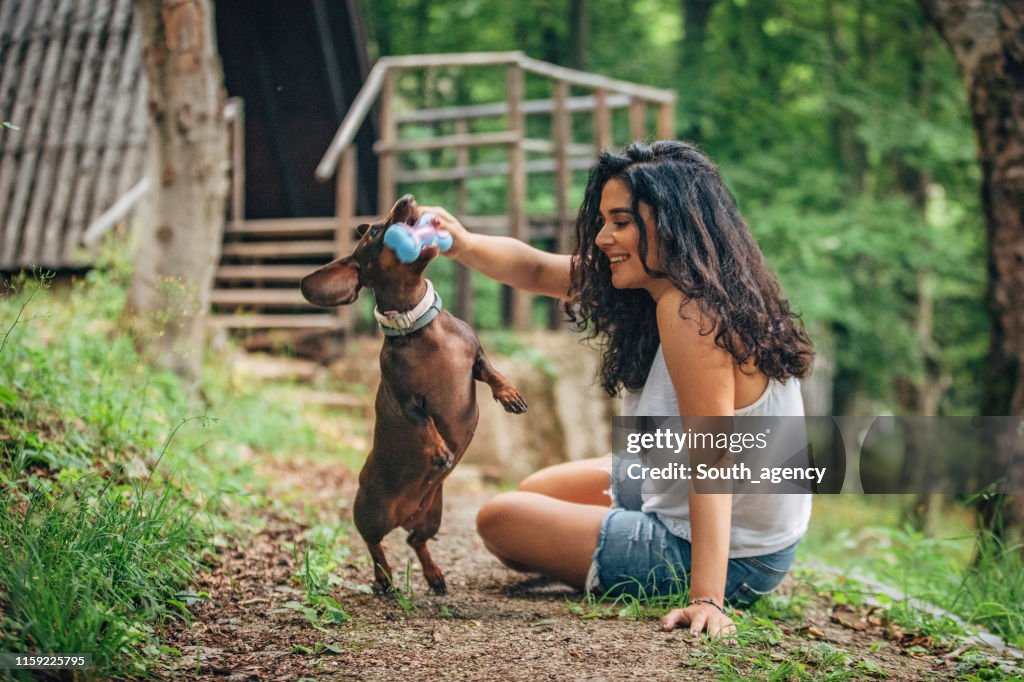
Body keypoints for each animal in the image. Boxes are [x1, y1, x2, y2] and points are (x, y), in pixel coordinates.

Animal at [299, 193, 528, 593]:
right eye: (376, 231)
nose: (406, 198)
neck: (420, 328)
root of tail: (404, 515)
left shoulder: (476, 358)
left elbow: (492, 372)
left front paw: (509, 394)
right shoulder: (406, 400)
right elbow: (425, 423)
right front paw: (438, 449)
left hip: (432, 514)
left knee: (415, 541)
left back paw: (434, 575)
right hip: (371, 512)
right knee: (374, 543)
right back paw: (384, 578)